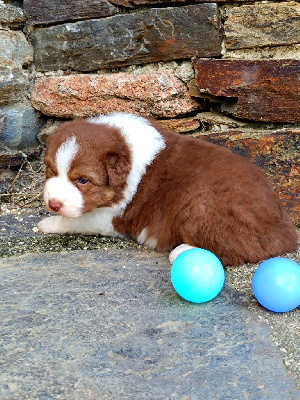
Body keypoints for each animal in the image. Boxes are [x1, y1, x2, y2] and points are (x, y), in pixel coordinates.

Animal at [38, 112, 298, 266]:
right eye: (51, 170)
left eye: (83, 180)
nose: (53, 204)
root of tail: (285, 232)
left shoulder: (113, 218)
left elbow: (78, 220)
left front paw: (47, 223)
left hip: (201, 205)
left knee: (236, 250)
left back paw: (182, 251)